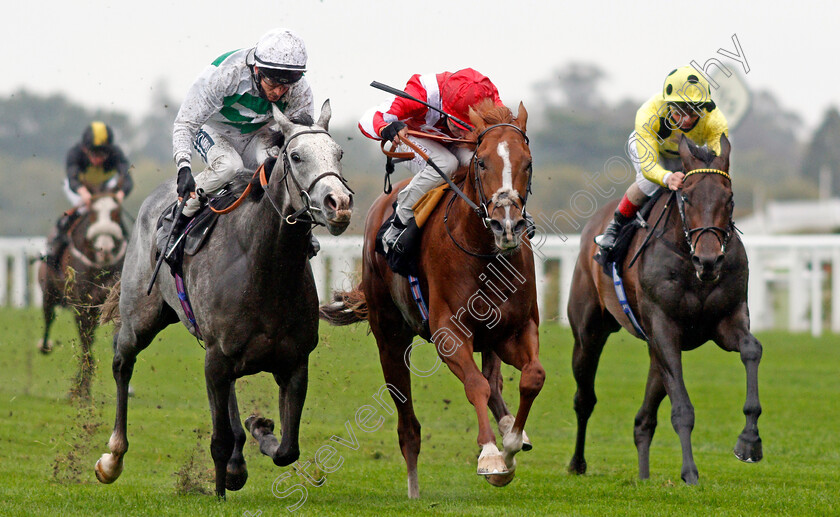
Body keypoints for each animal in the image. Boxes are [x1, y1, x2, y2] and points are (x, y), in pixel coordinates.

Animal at [38, 194, 126, 400]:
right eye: (93, 214)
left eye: (115, 213)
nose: (105, 249)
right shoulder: (81, 304)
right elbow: (86, 342)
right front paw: (82, 389)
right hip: (49, 292)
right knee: (48, 318)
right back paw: (45, 346)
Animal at [93, 99, 352, 498]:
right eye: (296, 156)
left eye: (337, 153)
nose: (338, 203)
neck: (264, 270)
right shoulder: (216, 360)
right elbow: (219, 439)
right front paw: (218, 491)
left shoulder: (294, 362)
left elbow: (287, 450)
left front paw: (259, 430)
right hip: (142, 317)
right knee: (123, 361)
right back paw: (113, 458)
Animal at [320, 99, 544, 498]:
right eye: (481, 161)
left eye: (527, 162)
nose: (507, 225)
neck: (486, 253)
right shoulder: (448, 333)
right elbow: (475, 385)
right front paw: (491, 456)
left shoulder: (516, 329)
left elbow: (531, 377)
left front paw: (511, 445)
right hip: (390, 337)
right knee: (409, 424)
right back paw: (414, 489)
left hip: (490, 338)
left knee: (494, 380)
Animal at [568, 135, 764, 486]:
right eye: (686, 197)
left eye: (729, 199)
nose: (709, 261)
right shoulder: (664, 328)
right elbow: (682, 408)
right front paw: (689, 472)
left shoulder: (726, 321)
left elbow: (751, 350)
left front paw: (749, 441)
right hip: (589, 332)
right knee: (584, 398)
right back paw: (577, 463)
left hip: (652, 352)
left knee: (643, 420)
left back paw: (644, 477)